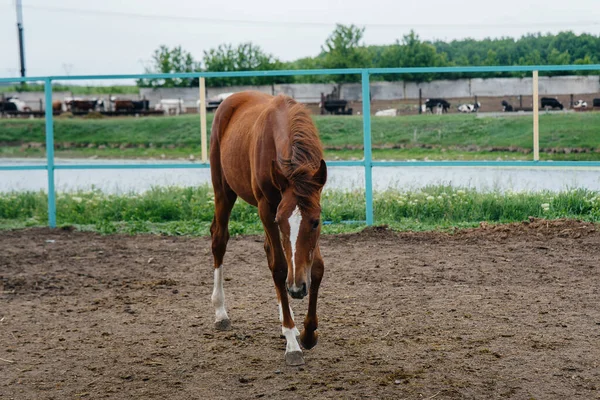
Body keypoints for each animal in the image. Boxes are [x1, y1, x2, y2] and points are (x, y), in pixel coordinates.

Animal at [207, 90, 328, 366]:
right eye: (280, 222)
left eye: (316, 221)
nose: (297, 289)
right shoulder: (266, 209)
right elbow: (280, 267)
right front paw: (293, 343)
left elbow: (316, 268)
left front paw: (307, 333)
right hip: (223, 190)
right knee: (220, 240)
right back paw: (221, 312)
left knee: (268, 250)